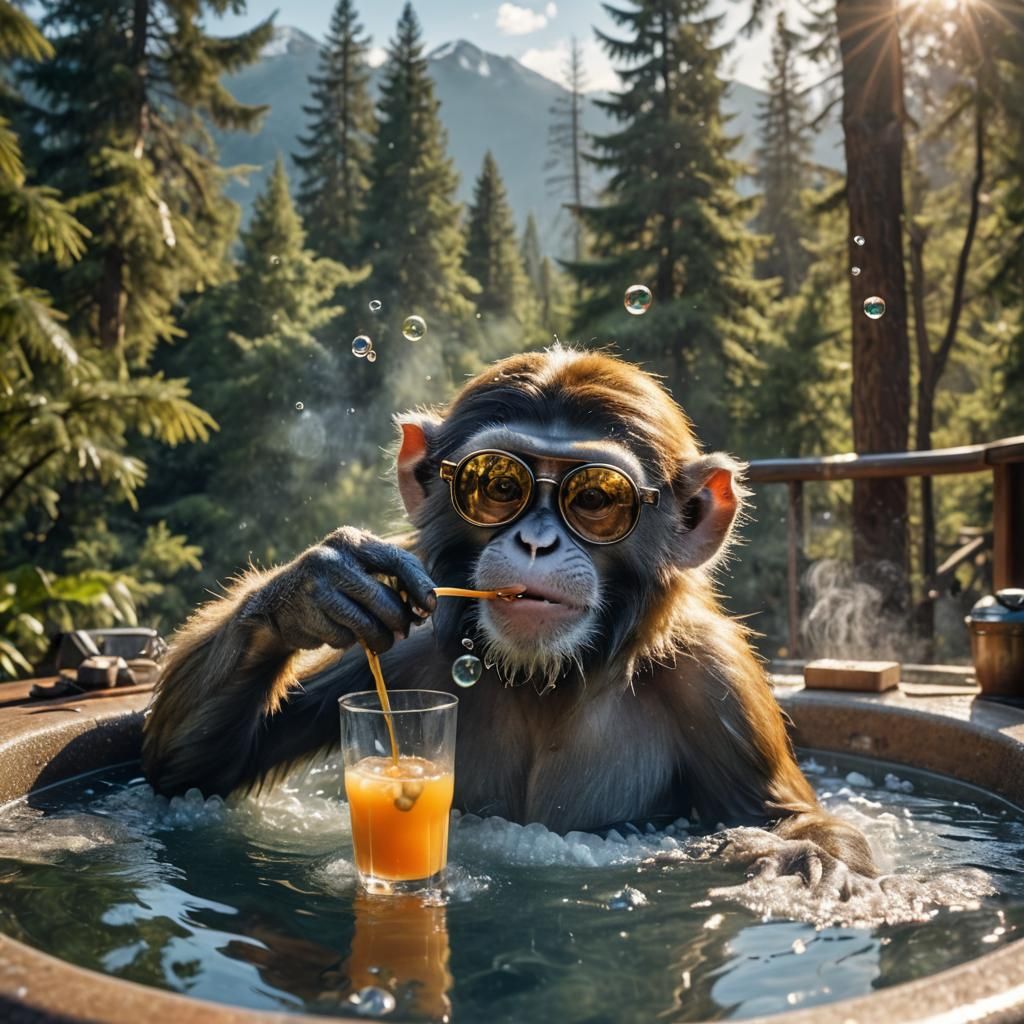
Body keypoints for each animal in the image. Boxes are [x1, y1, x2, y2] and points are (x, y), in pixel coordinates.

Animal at [142, 347, 876, 891]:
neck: (550, 679)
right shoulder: (407, 626)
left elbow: (781, 817)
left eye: (596, 499)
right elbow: (195, 771)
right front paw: (310, 587)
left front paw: (810, 861)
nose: (536, 540)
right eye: (498, 484)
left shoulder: (716, 679)